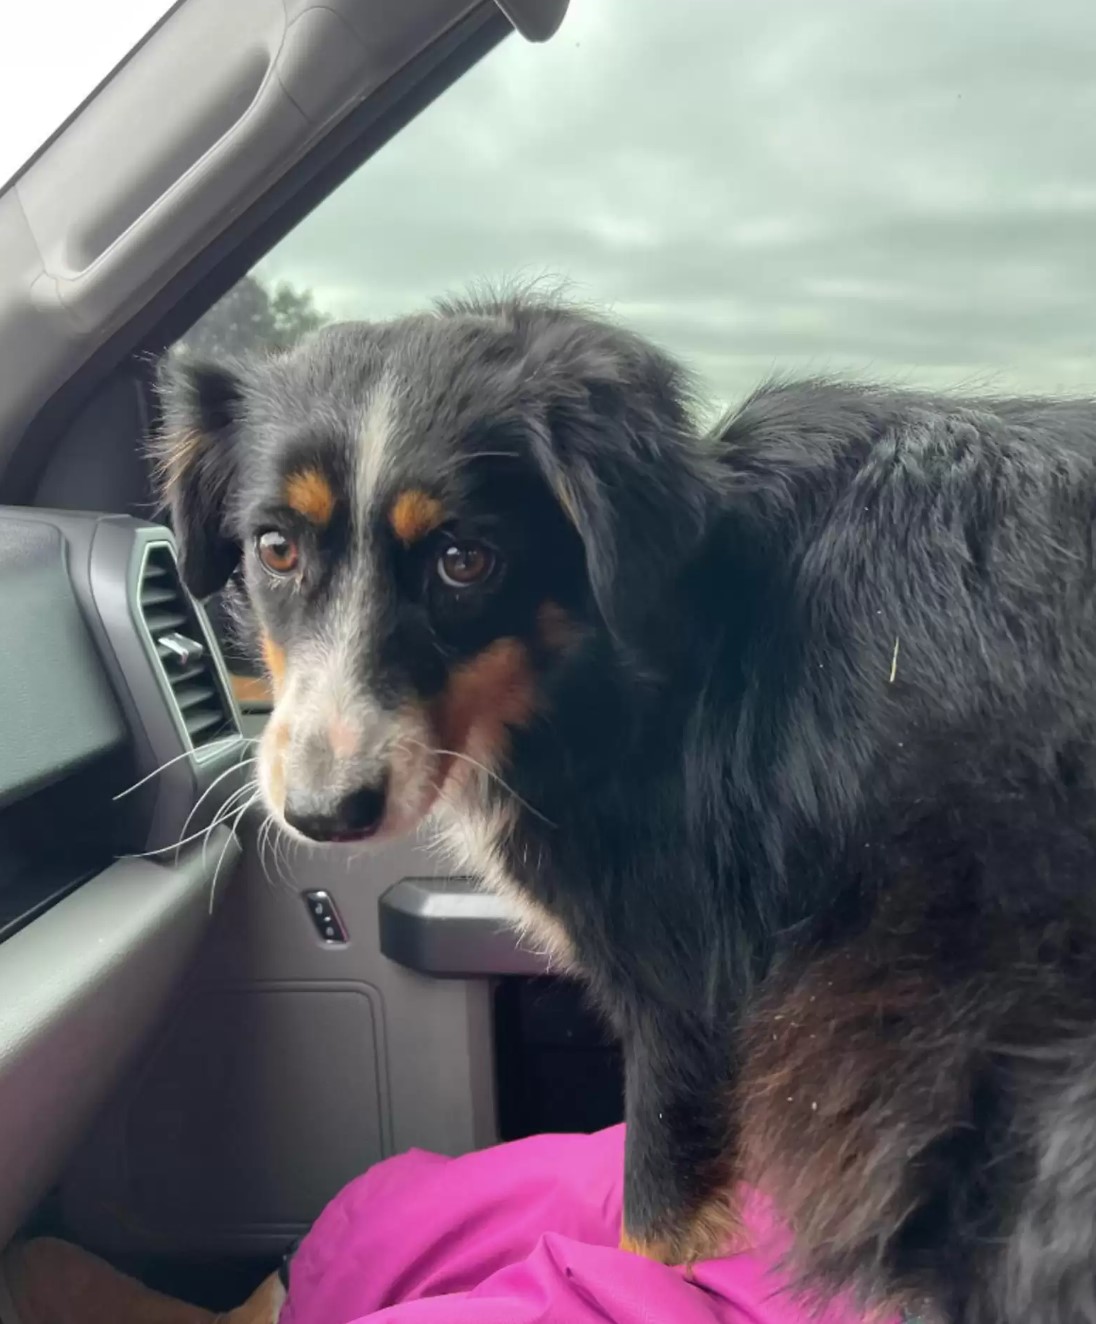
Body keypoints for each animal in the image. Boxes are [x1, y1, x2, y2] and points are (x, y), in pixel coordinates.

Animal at [156, 292, 1096, 1324]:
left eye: (465, 560)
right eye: (275, 547)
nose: (327, 813)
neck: (606, 663)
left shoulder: (686, 998)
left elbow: (647, 1231)